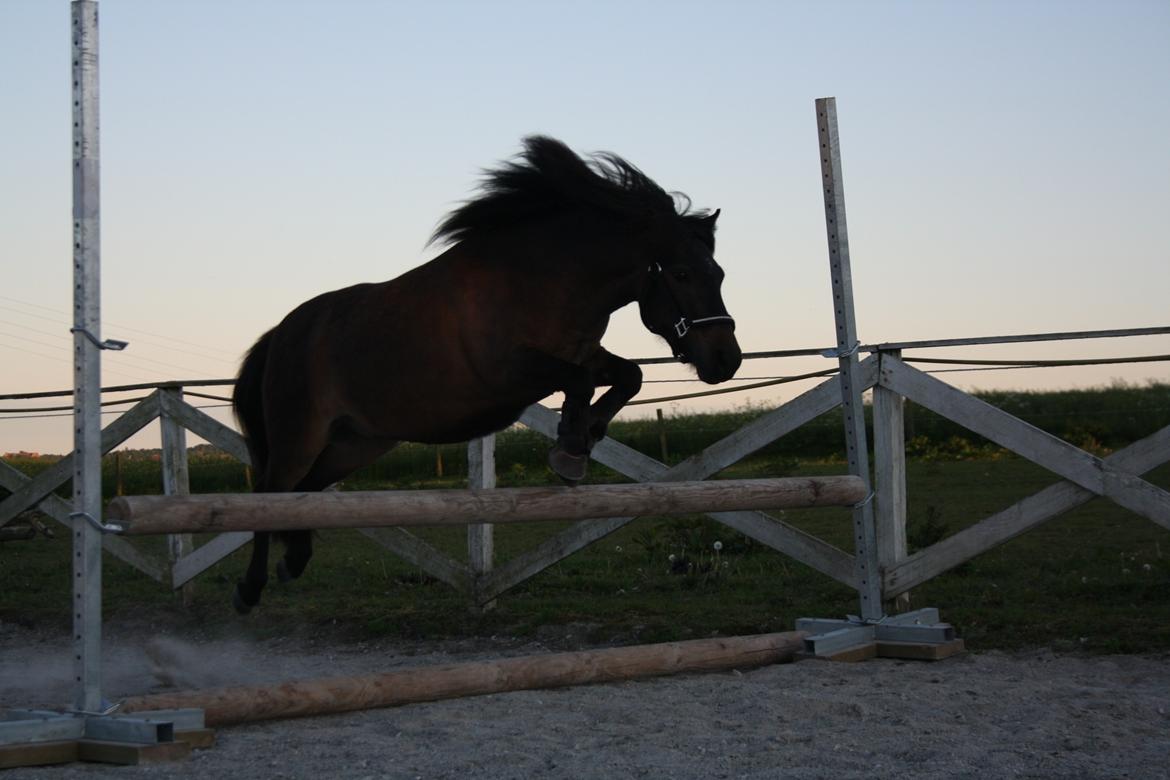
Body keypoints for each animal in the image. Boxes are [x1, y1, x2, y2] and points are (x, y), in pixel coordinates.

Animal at [228, 138, 739, 617]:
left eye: (719, 274)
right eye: (681, 273)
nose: (726, 361)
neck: (544, 280)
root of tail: (281, 334)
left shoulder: (583, 354)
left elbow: (627, 377)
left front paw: (583, 438)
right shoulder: (509, 372)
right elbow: (580, 383)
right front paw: (571, 446)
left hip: (355, 443)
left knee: (305, 493)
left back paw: (293, 561)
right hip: (300, 436)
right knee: (270, 492)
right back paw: (250, 590)